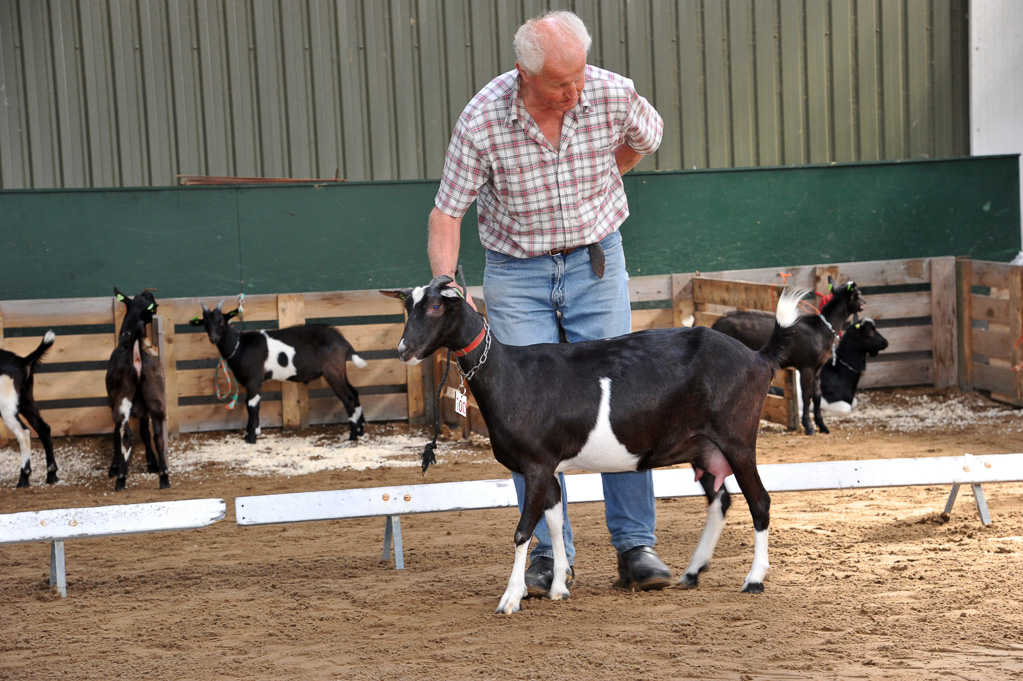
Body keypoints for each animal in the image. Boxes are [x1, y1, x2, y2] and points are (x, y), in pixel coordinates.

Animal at [1, 331, 57, 484]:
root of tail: (22, 361)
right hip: (26, 402)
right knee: (43, 428)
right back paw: (51, 475)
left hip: (6, 406)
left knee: (24, 432)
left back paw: (23, 479)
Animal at [106, 286, 169, 488]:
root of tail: (136, 355)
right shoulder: (144, 410)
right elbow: (146, 433)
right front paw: (152, 464)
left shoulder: (114, 403)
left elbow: (117, 434)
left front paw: (114, 468)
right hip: (155, 397)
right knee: (158, 435)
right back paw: (164, 476)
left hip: (122, 400)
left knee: (126, 435)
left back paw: (121, 478)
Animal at [192, 296, 368, 439]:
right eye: (205, 323)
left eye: (222, 321)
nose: (214, 338)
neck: (240, 345)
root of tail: (342, 341)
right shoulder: (252, 381)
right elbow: (250, 402)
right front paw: (252, 432)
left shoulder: (254, 379)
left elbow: (252, 404)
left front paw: (251, 437)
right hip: (340, 370)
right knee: (354, 392)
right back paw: (360, 430)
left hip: (332, 371)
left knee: (347, 398)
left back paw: (352, 436)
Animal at [384, 274, 806, 613]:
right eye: (407, 306)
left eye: (436, 305)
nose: (404, 350)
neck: (511, 375)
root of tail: (758, 357)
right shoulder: (549, 468)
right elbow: (554, 523)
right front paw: (557, 587)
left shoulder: (536, 465)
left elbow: (522, 532)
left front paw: (510, 598)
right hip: (701, 446)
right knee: (721, 500)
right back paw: (692, 571)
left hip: (738, 439)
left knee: (759, 502)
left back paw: (754, 579)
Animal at [712, 278, 863, 431]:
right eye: (857, 294)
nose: (864, 303)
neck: (820, 329)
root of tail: (716, 324)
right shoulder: (806, 366)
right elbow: (806, 395)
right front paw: (808, 426)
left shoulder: (817, 368)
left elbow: (817, 395)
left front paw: (822, 426)